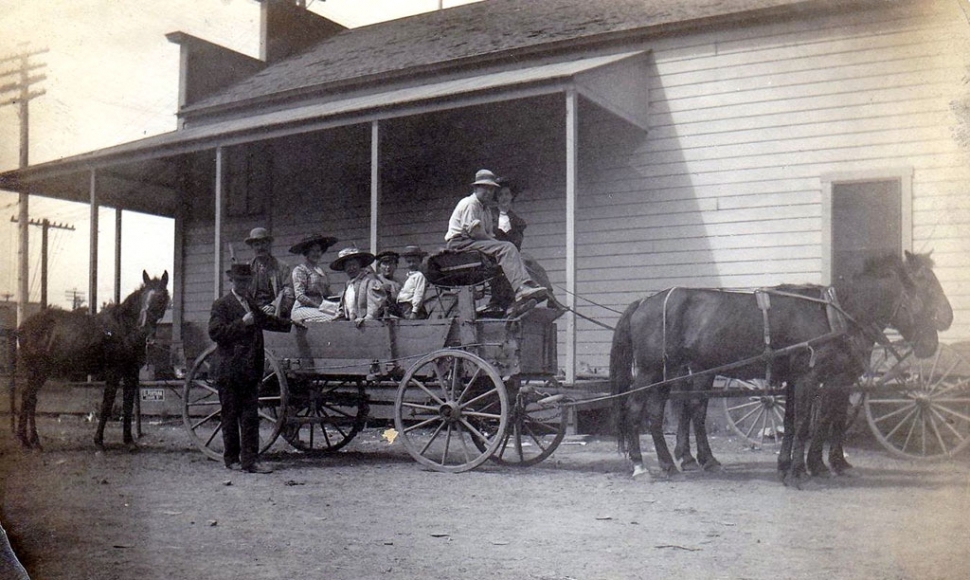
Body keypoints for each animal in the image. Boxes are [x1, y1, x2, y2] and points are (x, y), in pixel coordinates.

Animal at [14, 270, 170, 450]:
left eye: (161, 296)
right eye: (144, 296)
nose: (144, 328)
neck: (124, 328)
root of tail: (22, 327)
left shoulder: (131, 373)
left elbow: (128, 405)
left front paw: (129, 441)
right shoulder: (114, 372)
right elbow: (107, 404)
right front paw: (99, 441)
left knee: (29, 397)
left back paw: (29, 440)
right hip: (39, 370)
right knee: (29, 397)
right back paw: (31, 441)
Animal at [608, 254, 948, 484]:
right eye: (927, 289)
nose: (937, 334)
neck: (832, 315)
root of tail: (644, 302)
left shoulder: (802, 379)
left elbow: (801, 421)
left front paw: (794, 464)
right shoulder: (812, 377)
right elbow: (809, 424)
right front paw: (803, 469)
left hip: (671, 372)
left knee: (665, 413)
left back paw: (673, 462)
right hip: (651, 371)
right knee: (637, 410)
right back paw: (641, 464)